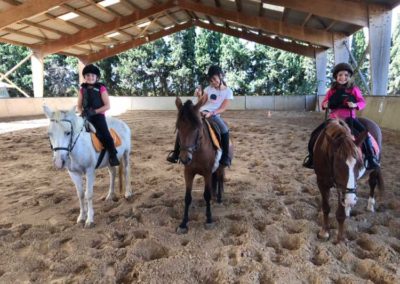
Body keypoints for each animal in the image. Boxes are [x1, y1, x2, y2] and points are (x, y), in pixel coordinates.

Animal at [175, 96, 228, 234]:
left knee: (220, 179)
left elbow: (207, 195)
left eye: (197, 127)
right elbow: (187, 197)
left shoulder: (207, 172)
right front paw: (183, 223)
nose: (184, 158)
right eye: (178, 127)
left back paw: (219, 198)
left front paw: (209, 220)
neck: (197, 150)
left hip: (220, 167)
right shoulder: (188, 172)